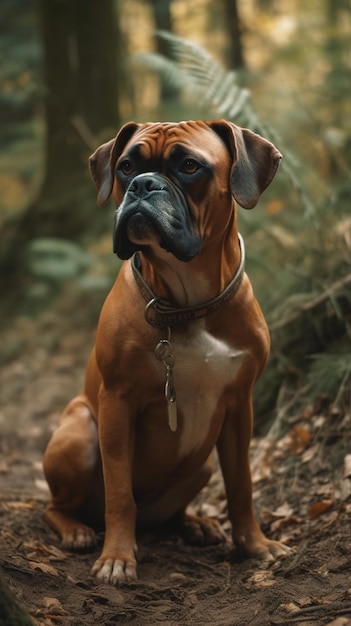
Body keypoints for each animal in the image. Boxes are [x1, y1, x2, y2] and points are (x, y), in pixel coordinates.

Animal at [43, 119, 292, 584]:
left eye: (190, 166)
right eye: (125, 166)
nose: (143, 184)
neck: (188, 303)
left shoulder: (240, 407)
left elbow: (242, 484)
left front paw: (254, 544)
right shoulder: (116, 404)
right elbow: (120, 492)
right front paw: (117, 557)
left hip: (201, 465)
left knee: (168, 513)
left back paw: (195, 523)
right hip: (81, 430)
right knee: (59, 507)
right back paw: (78, 531)